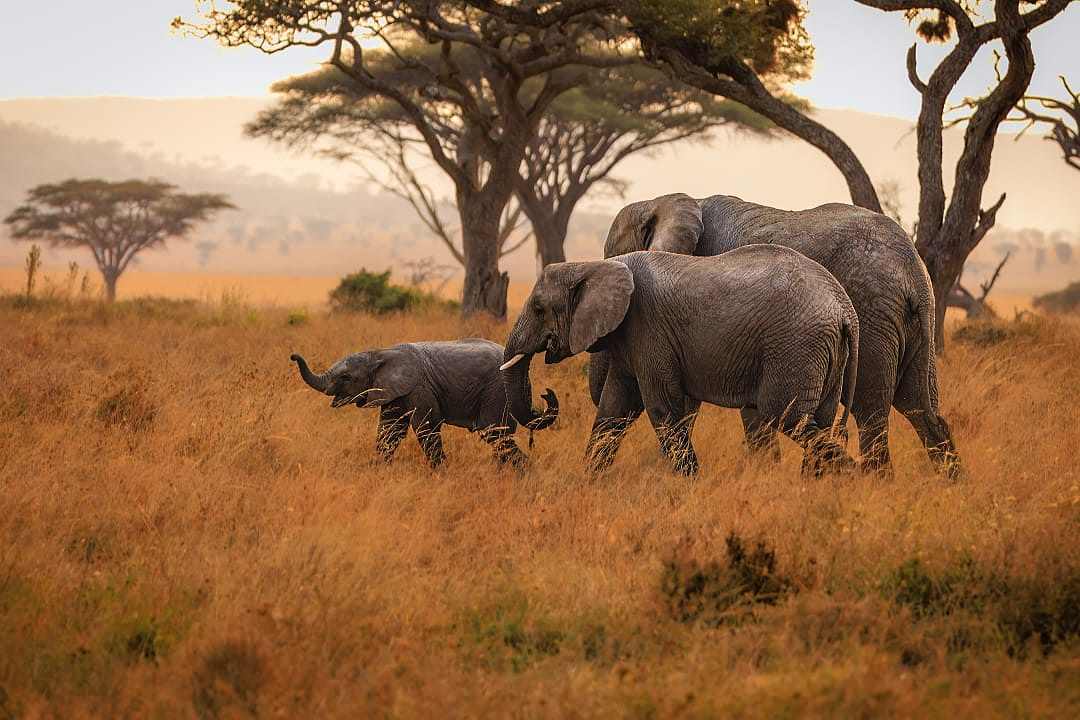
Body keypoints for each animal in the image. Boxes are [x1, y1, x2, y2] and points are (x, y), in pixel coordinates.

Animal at [291, 339, 558, 468]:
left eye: (346, 378)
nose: (293, 356)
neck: (380, 353)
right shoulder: (394, 392)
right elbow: (390, 431)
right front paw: (379, 468)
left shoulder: (420, 388)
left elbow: (425, 428)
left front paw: (441, 472)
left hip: (497, 391)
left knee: (495, 433)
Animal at [501, 248, 859, 477]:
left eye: (538, 308)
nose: (545, 395)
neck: (594, 265)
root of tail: (845, 311)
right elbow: (614, 408)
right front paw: (590, 481)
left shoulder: (648, 328)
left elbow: (660, 406)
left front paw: (690, 482)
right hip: (825, 352)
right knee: (818, 418)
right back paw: (815, 485)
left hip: (796, 346)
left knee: (786, 415)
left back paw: (852, 477)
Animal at [598, 193, 960, 478]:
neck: (667, 200)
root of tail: (913, 271)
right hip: (914, 326)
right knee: (919, 407)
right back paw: (949, 483)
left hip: (873, 316)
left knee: (871, 412)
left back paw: (872, 482)